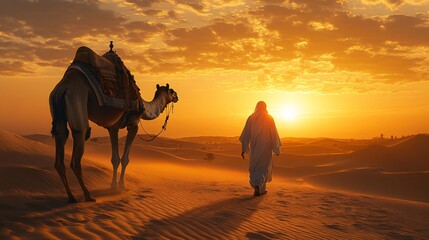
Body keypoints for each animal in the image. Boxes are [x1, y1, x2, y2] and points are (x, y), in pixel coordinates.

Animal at [49, 67, 178, 202]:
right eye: (171, 91)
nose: (177, 96)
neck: (144, 107)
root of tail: (63, 88)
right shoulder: (133, 124)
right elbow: (125, 159)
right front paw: (122, 186)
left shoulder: (113, 128)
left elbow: (115, 159)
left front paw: (113, 186)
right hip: (76, 100)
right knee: (78, 146)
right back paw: (88, 195)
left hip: (57, 107)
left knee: (60, 141)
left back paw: (71, 197)